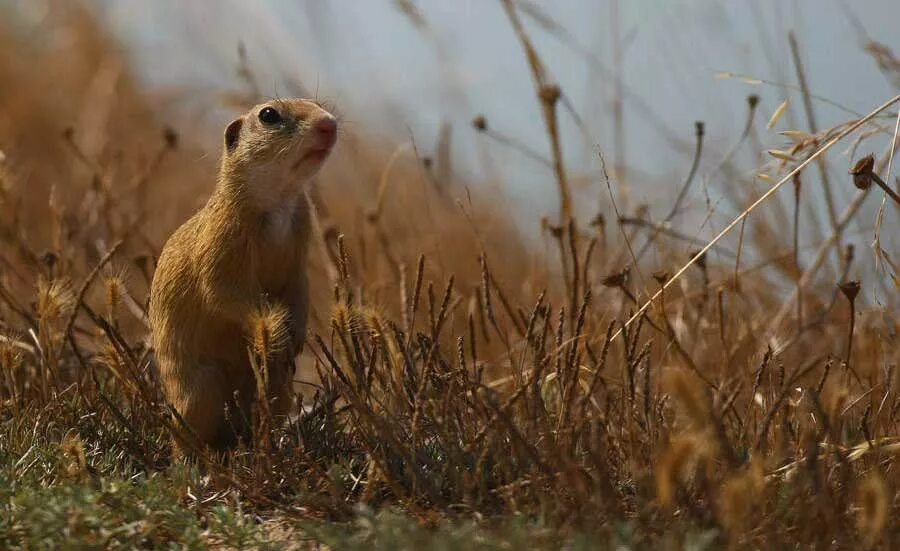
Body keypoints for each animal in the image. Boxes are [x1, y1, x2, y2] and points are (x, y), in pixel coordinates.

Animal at [151, 98, 338, 452]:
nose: (330, 124)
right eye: (269, 115)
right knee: (186, 435)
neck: (279, 200)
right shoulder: (223, 240)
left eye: (320, 104)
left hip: (280, 391)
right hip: (200, 391)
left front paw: (294, 338)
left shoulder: (300, 248)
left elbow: (299, 289)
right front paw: (277, 336)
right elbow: (226, 290)